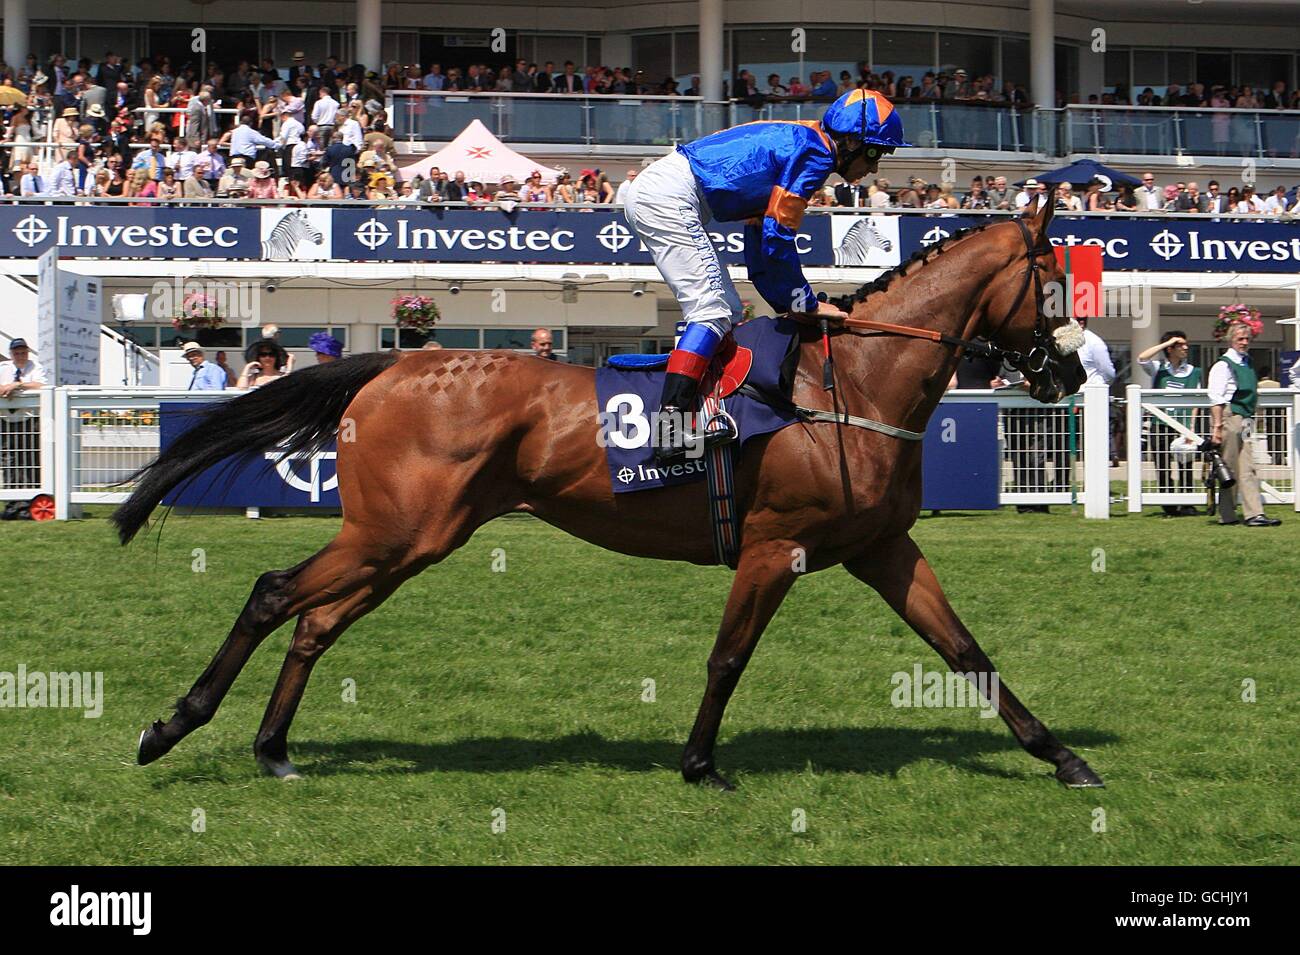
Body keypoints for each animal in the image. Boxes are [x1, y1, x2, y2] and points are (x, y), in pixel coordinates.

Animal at [114, 200, 1107, 789]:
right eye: (1052, 279)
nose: (1065, 371)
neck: (848, 386)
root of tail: (393, 363)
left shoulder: (882, 548)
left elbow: (967, 650)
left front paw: (1061, 755)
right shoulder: (772, 545)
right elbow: (728, 656)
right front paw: (700, 761)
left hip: (411, 540)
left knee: (315, 619)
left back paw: (274, 748)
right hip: (394, 533)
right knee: (273, 591)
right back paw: (171, 727)